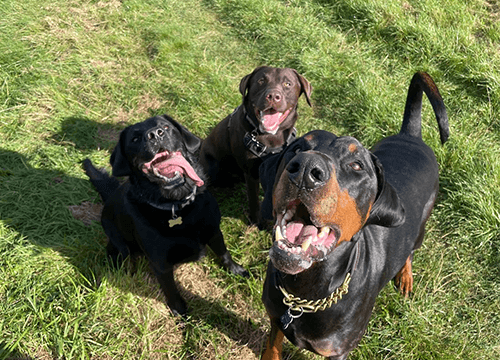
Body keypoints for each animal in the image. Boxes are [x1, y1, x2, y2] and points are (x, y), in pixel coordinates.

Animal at [85, 114, 250, 316]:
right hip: (117, 239)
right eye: (135, 139)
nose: (155, 134)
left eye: (165, 127)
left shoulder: (213, 230)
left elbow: (223, 252)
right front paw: (179, 311)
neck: (177, 205)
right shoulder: (160, 263)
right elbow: (170, 288)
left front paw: (235, 270)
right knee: (117, 251)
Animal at [200, 66, 312, 226]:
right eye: (261, 81)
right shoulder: (251, 173)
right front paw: (258, 223)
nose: (273, 96)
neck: (271, 137)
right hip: (211, 167)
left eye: (288, 84)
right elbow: (254, 201)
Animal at [258, 71, 450, 358]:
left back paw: (405, 276)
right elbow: (271, 348)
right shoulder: (275, 320)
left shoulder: (338, 352)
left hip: (421, 227)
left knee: (410, 251)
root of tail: (411, 136)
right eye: (297, 148)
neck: (303, 294)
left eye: (357, 165)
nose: (305, 169)